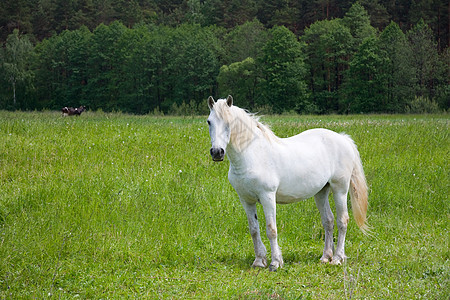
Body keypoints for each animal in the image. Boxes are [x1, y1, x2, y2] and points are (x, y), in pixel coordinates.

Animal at [207, 95, 370, 270]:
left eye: (228, 122)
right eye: (209, 121)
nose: (217, 152)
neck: (253, 155)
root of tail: (343, 138)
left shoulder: (267, 197)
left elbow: (271, 229)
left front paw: (275, 262)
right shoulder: (246, 200)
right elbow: (254, 229)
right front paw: (259, 261)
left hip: (340, 189)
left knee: (342, 221)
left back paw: (338, 258)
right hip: (321, 192)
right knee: (328, 221)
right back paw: (326, 256)